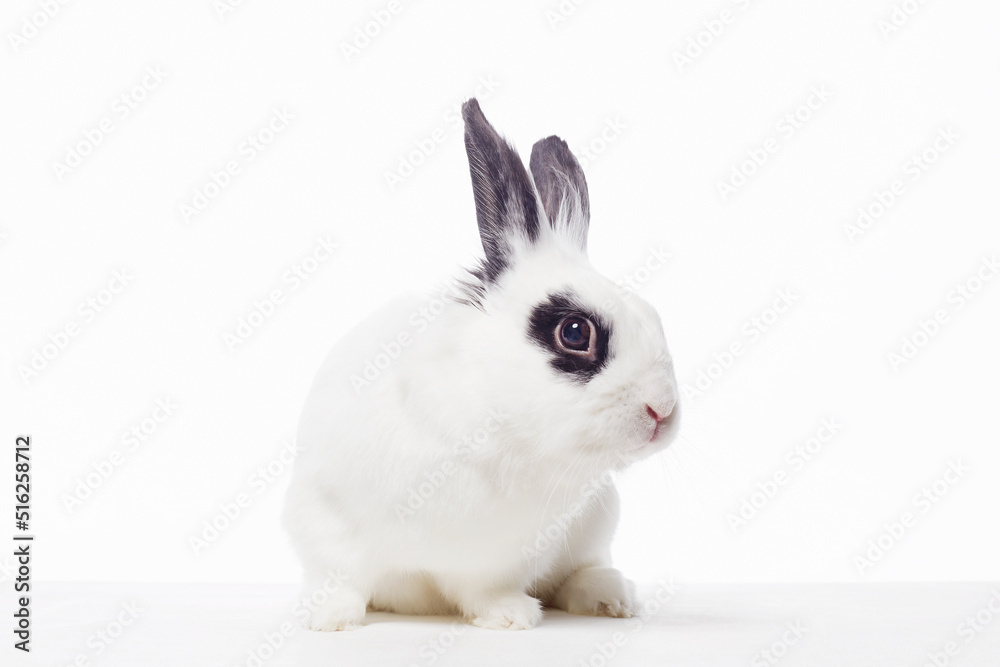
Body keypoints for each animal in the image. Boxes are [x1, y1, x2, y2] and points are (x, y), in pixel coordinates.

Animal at [282, 98, 680, 631]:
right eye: (575, 332)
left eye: (653, 315)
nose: (663, 410)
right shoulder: (326, 516)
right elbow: (337, 574)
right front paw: (327, 618)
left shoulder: (496, 555)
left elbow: (485, 589)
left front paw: (510, 616)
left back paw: (610, 597)